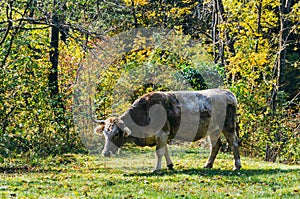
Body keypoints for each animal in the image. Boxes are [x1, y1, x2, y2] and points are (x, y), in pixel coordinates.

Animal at [95, 89, 243, 172]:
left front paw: (157, 169)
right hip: (213, 130)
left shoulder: (162, 133)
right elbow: (165, 150)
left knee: (234, 143)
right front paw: (170, 165)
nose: (105, 153)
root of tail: (227, 93)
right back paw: (208, 164)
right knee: (216, 145)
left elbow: (159, 152)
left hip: (228, 126)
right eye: (105, 134)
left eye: (116, 134)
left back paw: (236, 166)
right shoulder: (162, 135)